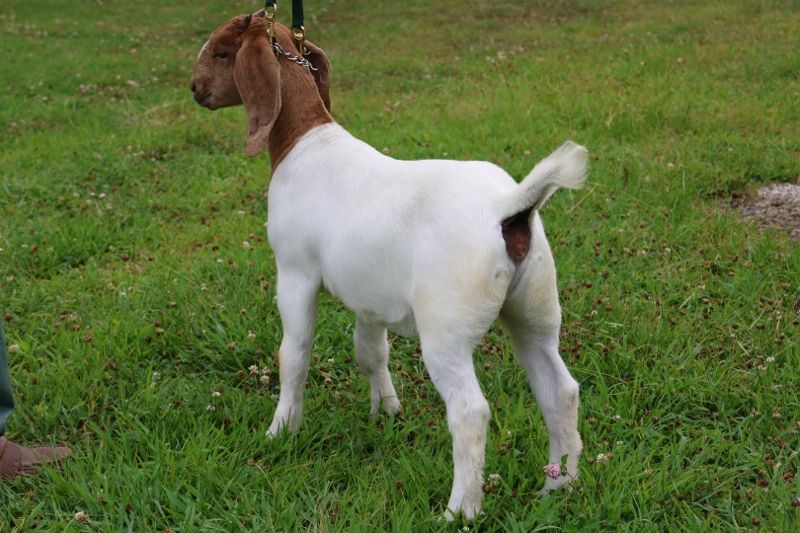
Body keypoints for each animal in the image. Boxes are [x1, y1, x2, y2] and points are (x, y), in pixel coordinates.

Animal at [190, 12, 586, 519]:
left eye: (223, 52)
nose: (195, 88)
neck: (306, 142)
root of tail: (508, 207)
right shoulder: (370, 297)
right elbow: (370, 351)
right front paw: (386, 410)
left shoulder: (295, 273)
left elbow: (293, 353)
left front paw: (281, 431)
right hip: (534, 309)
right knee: (559, 390)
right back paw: (560, 486)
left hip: (447, 329)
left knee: (470, 411)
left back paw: (460, 510)